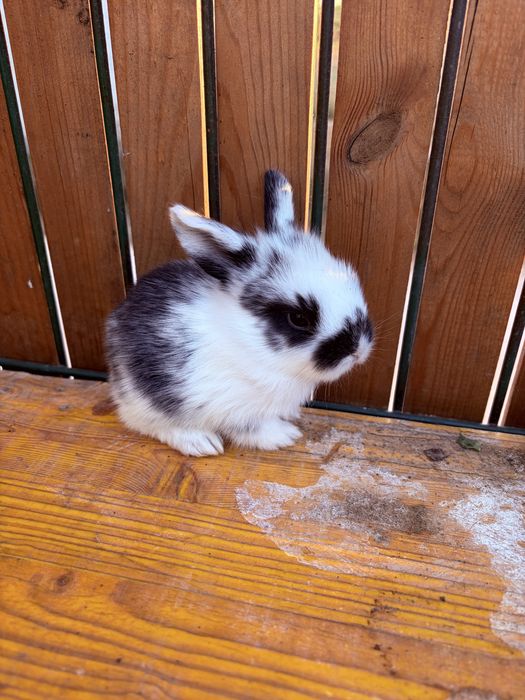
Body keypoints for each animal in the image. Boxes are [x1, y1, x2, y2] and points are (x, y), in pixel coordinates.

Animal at [106, 170, 373, 456]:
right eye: (299, 318)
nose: (358, 350)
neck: (249, 344)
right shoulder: (231, 407)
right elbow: (252, 428)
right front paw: (285, 436)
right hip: (143, 399)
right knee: (145, 422)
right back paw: (201, 443)